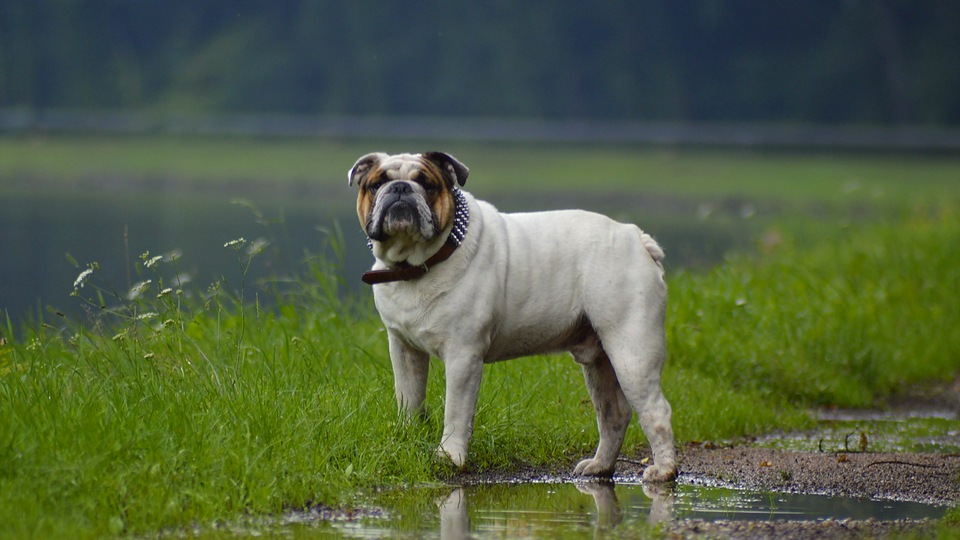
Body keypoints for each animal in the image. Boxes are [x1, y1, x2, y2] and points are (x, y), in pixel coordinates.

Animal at [350, 151, 676, 480]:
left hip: (631, 352)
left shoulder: (463, 356)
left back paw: (663, 470)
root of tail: (635, 236)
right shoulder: (404, 351)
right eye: (376, 184)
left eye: (427, 185)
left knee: (656, 410)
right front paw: (406, 438)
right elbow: (409, 399)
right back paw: (599, 465)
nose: (401, 188)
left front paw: (450, 456)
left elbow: (456, 410)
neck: (415, 266)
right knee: (614, 413)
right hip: (600, 361)